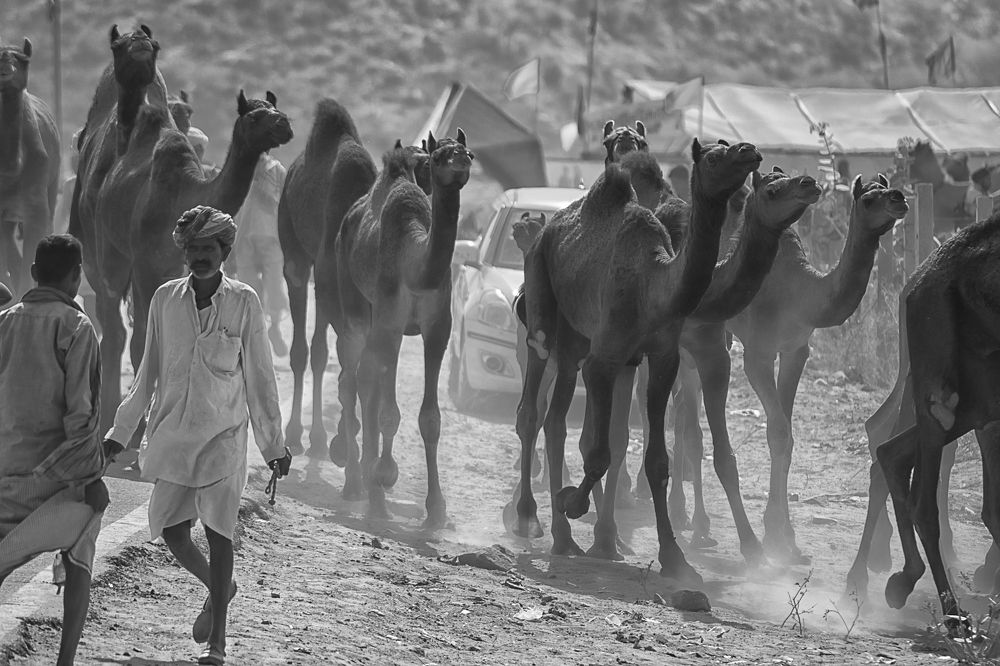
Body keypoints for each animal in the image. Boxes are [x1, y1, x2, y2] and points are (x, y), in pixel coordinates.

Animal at [277, 99, 377, 458]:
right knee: (307, 350)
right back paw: (301, 434)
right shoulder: (321, 275)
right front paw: (324, 437)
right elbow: (320, 350)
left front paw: (343, 434)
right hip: (296, 251)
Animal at [333, 130, 473, 526]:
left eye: (469, 151)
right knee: (350, 380)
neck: (416, 267)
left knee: (366, 379)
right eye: (439, 156)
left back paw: (368, 480)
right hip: (355, 307)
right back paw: (357, 484)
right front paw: (382, 483)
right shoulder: (390, 324)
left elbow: (430, 419)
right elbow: (388, 413)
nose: (461, 161)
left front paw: (436, 510)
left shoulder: (438, 329)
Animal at [513, 142, 761, 583]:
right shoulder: (604, 358)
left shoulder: (661, 358)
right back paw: (532, 519)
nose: (749, 151)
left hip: (574, 341)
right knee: (533, 409)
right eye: (715, 156)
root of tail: (548, 229)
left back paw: (563, 537)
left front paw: (675, 558)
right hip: (543, 307)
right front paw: (571, 502)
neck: (653, 285)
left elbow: (657, 460)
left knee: (555, 420)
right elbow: (598, 452)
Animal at [725, 174, 908, 562]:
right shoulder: (758, 353)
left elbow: (784, 434)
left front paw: (784, 538)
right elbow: (779, 431)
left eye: (889, 188)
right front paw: (776, 537)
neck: (801, 292)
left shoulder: (796, 349)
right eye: (869, 199)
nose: (899, 198)